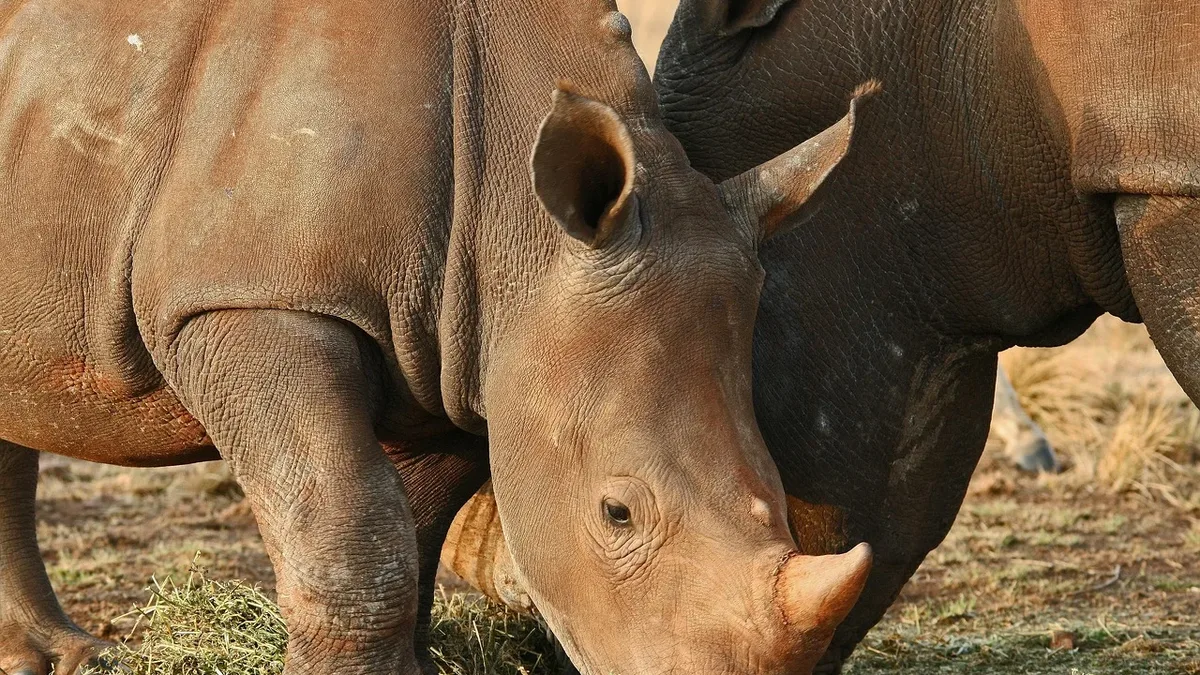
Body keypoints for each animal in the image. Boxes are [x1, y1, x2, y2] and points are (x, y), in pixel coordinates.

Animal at [0, 1, 886, 673]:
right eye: (617, 513)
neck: (515, 219)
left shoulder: (468, 351)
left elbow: (411, 533)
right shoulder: (247, 300)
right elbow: (353, 529)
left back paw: (49, 656)